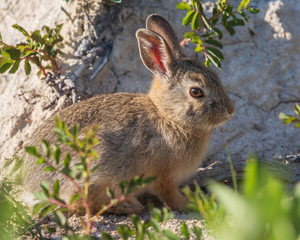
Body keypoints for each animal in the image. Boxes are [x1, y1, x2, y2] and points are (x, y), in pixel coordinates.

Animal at [22, 14, 236, 214]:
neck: (168, 117)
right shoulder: (163, 175)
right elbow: (171, 197)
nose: (230, 111)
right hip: (94, 167)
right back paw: (128, 206)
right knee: (77, 203)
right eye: (196, 92)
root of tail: (27, 182)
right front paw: (194, 203)